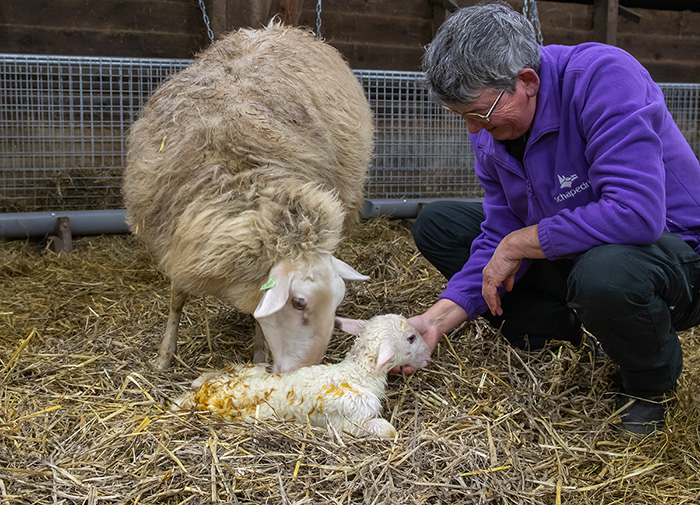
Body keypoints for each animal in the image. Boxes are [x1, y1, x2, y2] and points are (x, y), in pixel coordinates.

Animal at [121, 23, 374, 370]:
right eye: (298, 303)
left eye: (338, 298)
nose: (305, 371)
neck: (240, 175)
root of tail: (281, 28)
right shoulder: (179, 233)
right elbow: (176, 298)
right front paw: (163, 356)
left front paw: (258, 355)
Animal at [172, 316, 430, 438]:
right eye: (410, 338)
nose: (428, 354)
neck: (356, 374)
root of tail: (200, 395)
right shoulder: (349, 421)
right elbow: (389, 431)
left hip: (249, 369)